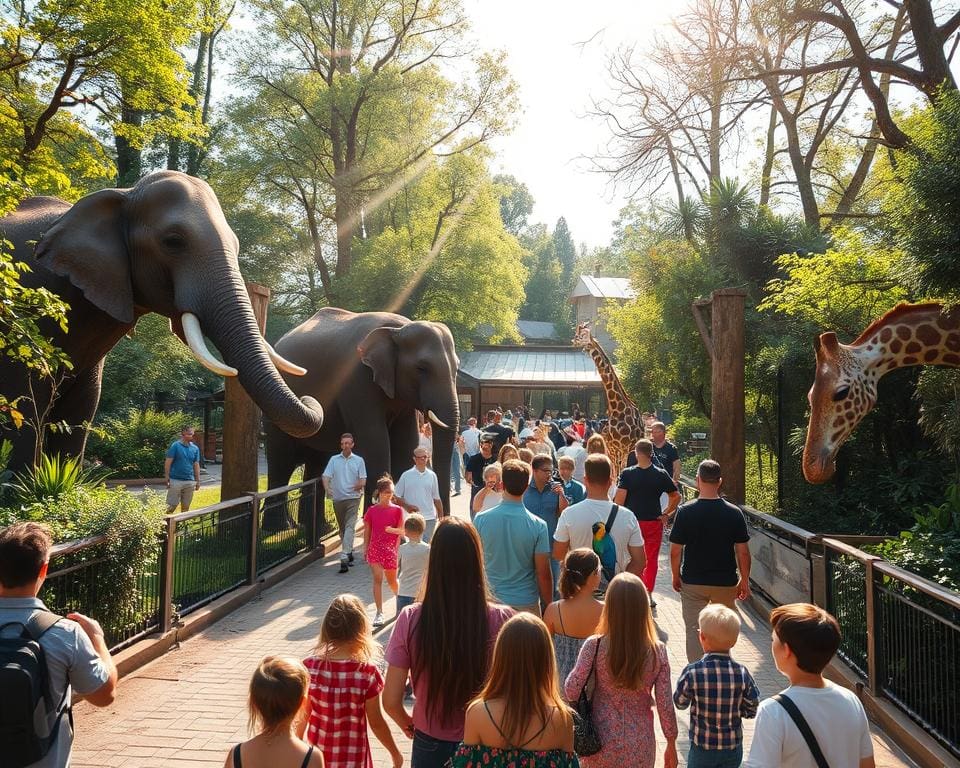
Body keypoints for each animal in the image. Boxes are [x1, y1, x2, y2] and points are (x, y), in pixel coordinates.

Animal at [0, 171, 324, 476]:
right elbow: (21, 403)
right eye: (173, 241)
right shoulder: (26, 317)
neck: (123, 195)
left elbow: (83, 404)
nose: (309, 395)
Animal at [260, 306, 460, 528]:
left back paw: (318, 526)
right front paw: (376, 516)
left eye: (457, 367)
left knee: (318, 461)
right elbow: (376, 442)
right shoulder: (356, 381)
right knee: (282, 460)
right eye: (421, 368)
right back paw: (280, 528)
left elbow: (405, 444)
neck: (397, 330)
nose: (445, 520)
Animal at [572, 322, 648, 472]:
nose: (573, 341)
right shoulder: (614, 447)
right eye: (576, 334)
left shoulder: (624, 448)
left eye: (582, 335)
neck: (617, 408)